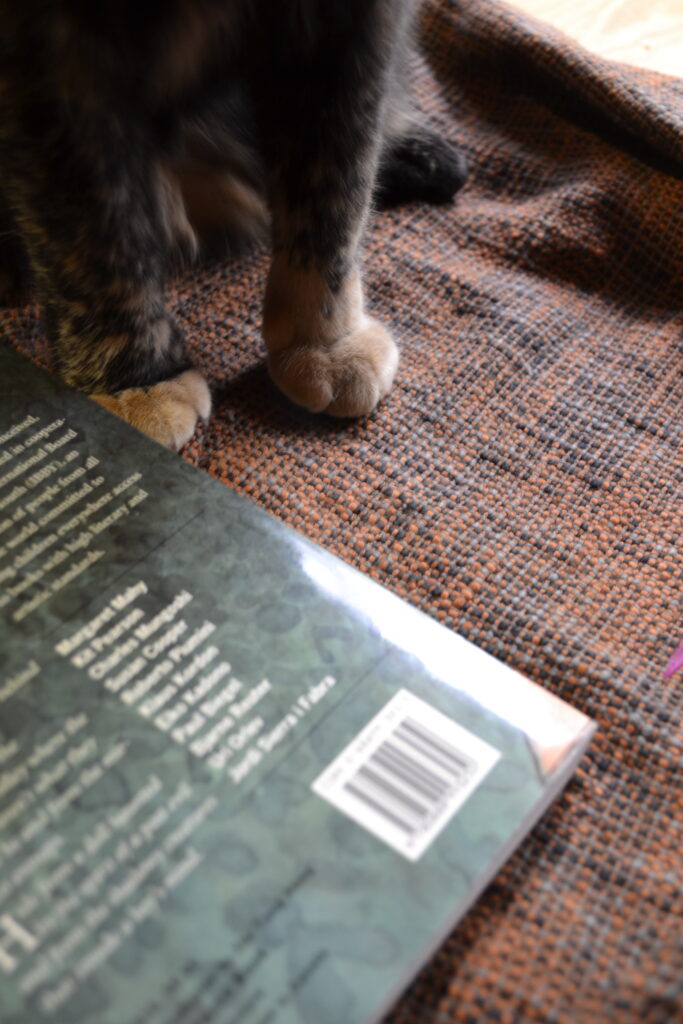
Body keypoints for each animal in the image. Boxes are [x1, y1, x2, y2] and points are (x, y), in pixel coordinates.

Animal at [0, 0, 464, 448]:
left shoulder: (348, 25)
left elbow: (338, 186)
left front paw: (329, 342)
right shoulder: (58, 60)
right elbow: (98, 240)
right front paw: (135, 385)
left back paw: (425, 158)